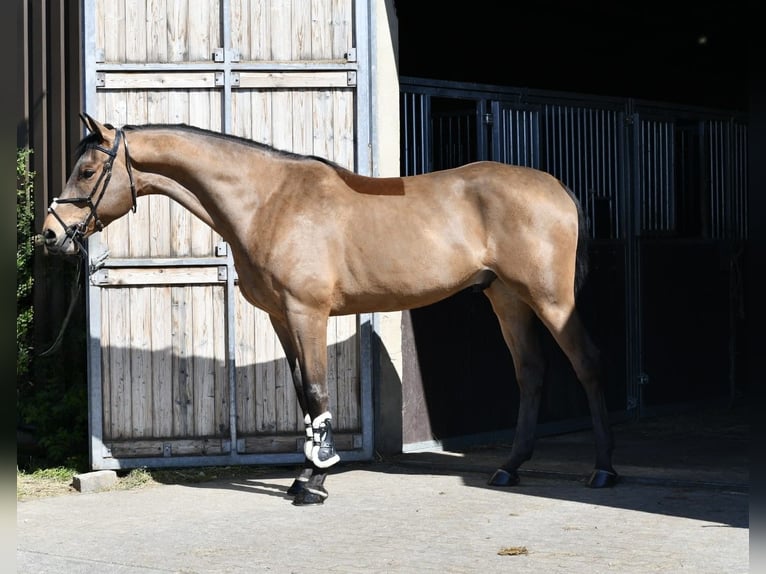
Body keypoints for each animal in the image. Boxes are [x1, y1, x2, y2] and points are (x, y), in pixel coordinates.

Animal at [42, 113, 618, 505]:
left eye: (88, 170)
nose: (49, 235)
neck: (269, 200)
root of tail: (556, 188)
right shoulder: (281, 318)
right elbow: (302, 392)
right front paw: (304, 474)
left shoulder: (307, 313)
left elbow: (317, 391)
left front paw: (314, 481)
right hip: (506, 297)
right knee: (532, 372)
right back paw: (510, 468)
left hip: (550, 299)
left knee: (589, 365)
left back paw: (604, 469)